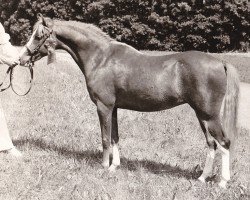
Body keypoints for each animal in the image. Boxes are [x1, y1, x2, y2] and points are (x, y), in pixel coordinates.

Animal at [18, 13, 239, 188]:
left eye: (38, 36)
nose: (21, 59)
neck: (101, 58)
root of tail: (220, 62)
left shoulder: (103, 107)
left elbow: (105, 138)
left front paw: (103, 167)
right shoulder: (114, 108)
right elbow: (115, 137)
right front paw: (114, 166)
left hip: (209, 115)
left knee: (224, 143)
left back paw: (222, 182)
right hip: (201, 115)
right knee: (211, 144)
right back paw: (202, 178)